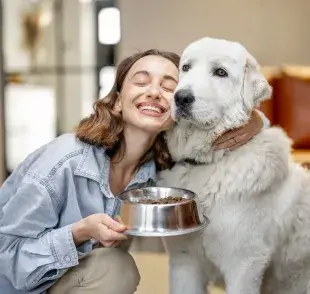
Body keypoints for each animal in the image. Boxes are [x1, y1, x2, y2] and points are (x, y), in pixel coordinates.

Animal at [159, 38, 310, 294]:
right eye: (186, 68)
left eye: (221, 72)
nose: (181, 97)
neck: (211, 161)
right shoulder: (184, 262)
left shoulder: (244, 265)